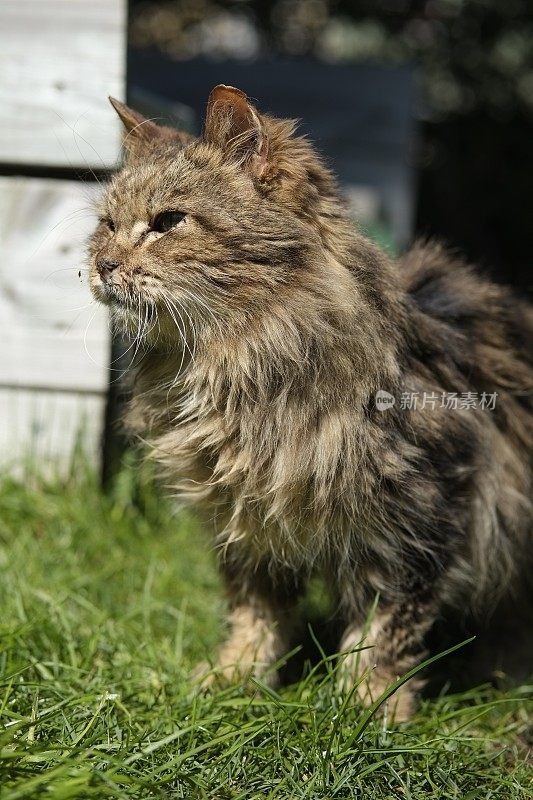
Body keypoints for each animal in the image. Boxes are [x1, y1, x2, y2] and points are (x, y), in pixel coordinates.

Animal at [88, 86, 532, 720]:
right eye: (108, 224)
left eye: (168, 222)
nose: (102, 264)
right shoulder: (245, 525)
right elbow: (254, 617)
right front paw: (232, 684)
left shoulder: (424, 517)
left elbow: (384, 636)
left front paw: (365, 714)